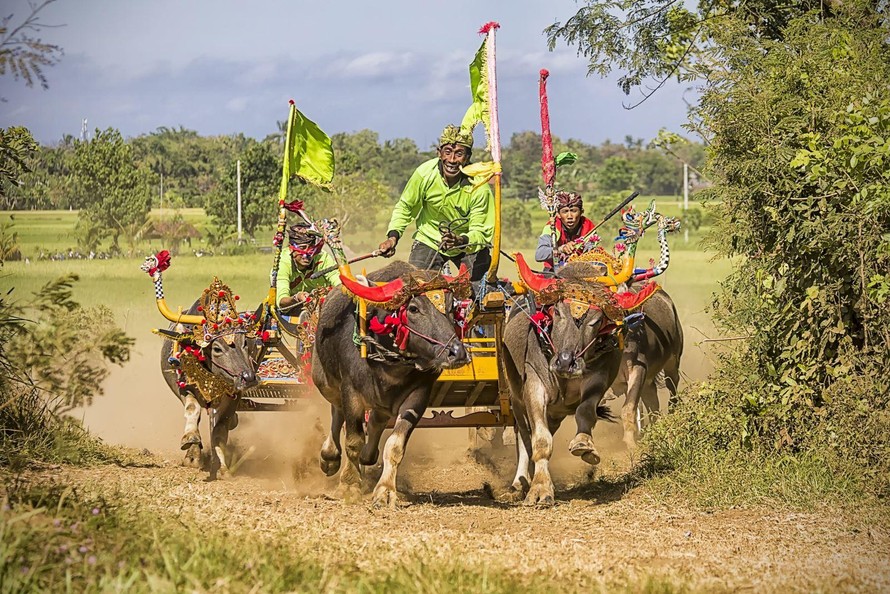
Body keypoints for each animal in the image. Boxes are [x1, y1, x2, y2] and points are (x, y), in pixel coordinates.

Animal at [316, 260, 476, 504]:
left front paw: (385, 490)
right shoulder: (351, 391)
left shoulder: (418, 396)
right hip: (326, 382)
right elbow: (353, 440)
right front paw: (350, 485)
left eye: (450, 307)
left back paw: (368, 456)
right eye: (414, 308)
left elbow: (395, 446)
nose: (457, 353)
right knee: (337, 412)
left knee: (376, 421)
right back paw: (329, 457)